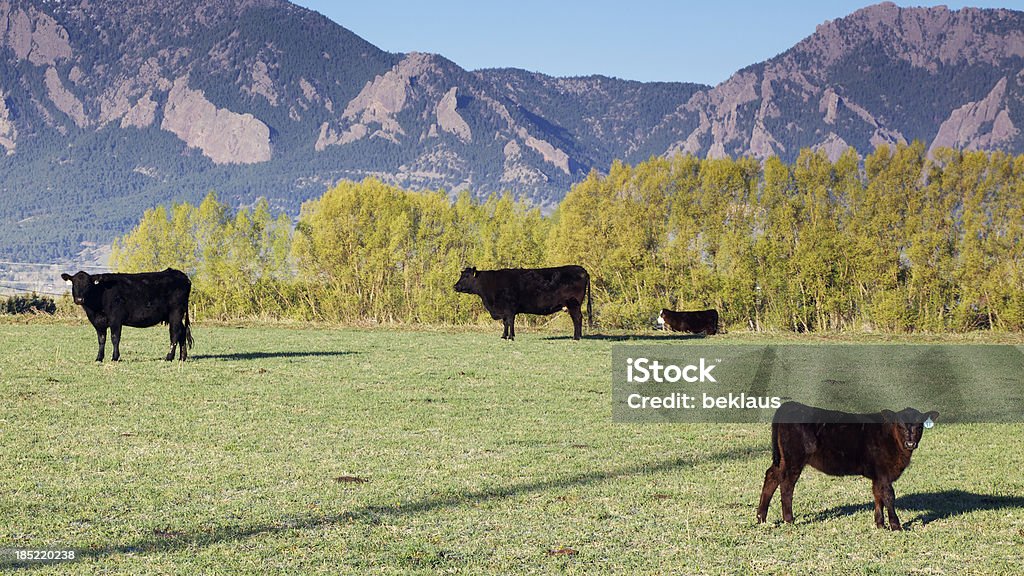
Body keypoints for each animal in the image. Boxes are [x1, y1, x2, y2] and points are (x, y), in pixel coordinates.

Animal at [61, 268, 193, 358]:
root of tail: (182, 276)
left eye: (88, 285)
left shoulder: (115, 318)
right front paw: (99, 358)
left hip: (175, 312)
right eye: (74, 284)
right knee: (182, 332)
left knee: (174, 333)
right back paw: (182, 357)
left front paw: (115, 357)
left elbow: (115, 338)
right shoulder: (98, 322)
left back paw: (169, 357)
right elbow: (101, 339)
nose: (79, 299)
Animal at [456, 266, 593, 340]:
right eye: (461, 275)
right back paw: (579, 336)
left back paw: (576, 337)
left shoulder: (509, 308)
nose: (455, 286)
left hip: (574, 304)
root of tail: (582, 270)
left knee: (577, 318)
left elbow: (510, 322)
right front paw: (504, 336)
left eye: (466, 276)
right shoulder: (504, 310)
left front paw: (511, 337)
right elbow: (505, 323)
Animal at [757, 399, 937, 528]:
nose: (910, 443)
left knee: (772, 476)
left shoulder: (878, 475)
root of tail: (791, 405)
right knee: (787, 485)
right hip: (794, 459)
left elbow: (877, 495)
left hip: (783, 459)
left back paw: (761, 518)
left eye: (920, 426)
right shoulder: (884, 473)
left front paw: (880, 524)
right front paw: (896, 526)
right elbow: (888, 496)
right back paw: (789, 520)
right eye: (900, 425)